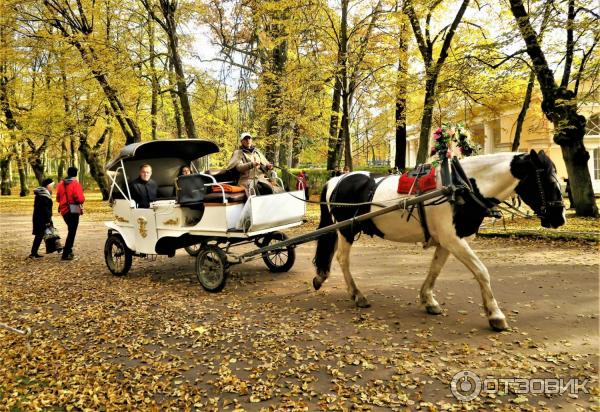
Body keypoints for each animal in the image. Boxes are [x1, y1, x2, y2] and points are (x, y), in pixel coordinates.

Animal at [314, 150, 568, 330]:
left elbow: (435, 270)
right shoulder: (453, 239)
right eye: (547, 180)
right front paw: (495, 315)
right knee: (342, 259)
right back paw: (357, 295)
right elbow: (481, 271)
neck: (461, 185)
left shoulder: (447, 241)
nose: (560, 217)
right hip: (346, 231)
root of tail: (338, 179)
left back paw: (323, 277)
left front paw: (428, 300)